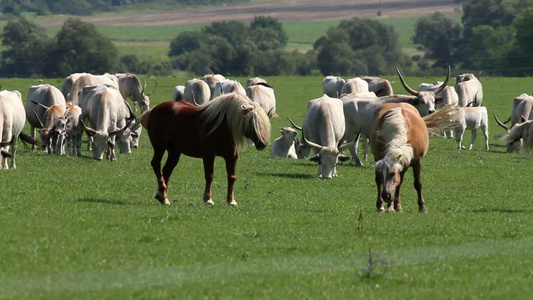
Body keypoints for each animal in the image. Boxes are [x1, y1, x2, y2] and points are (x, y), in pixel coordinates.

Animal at [140, 93, 268, 206]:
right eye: (251, 121)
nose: (263, 143)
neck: (223, 125)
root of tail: (154, 109)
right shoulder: (208, 155)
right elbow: (209, 176)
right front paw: (208, 199)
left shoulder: (232, 157)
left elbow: (232, 177)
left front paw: (231, 201)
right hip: (159, 147)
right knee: (156, 164)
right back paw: (160, 192)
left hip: (174, 152)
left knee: (166, 171)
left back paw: (164, 197)